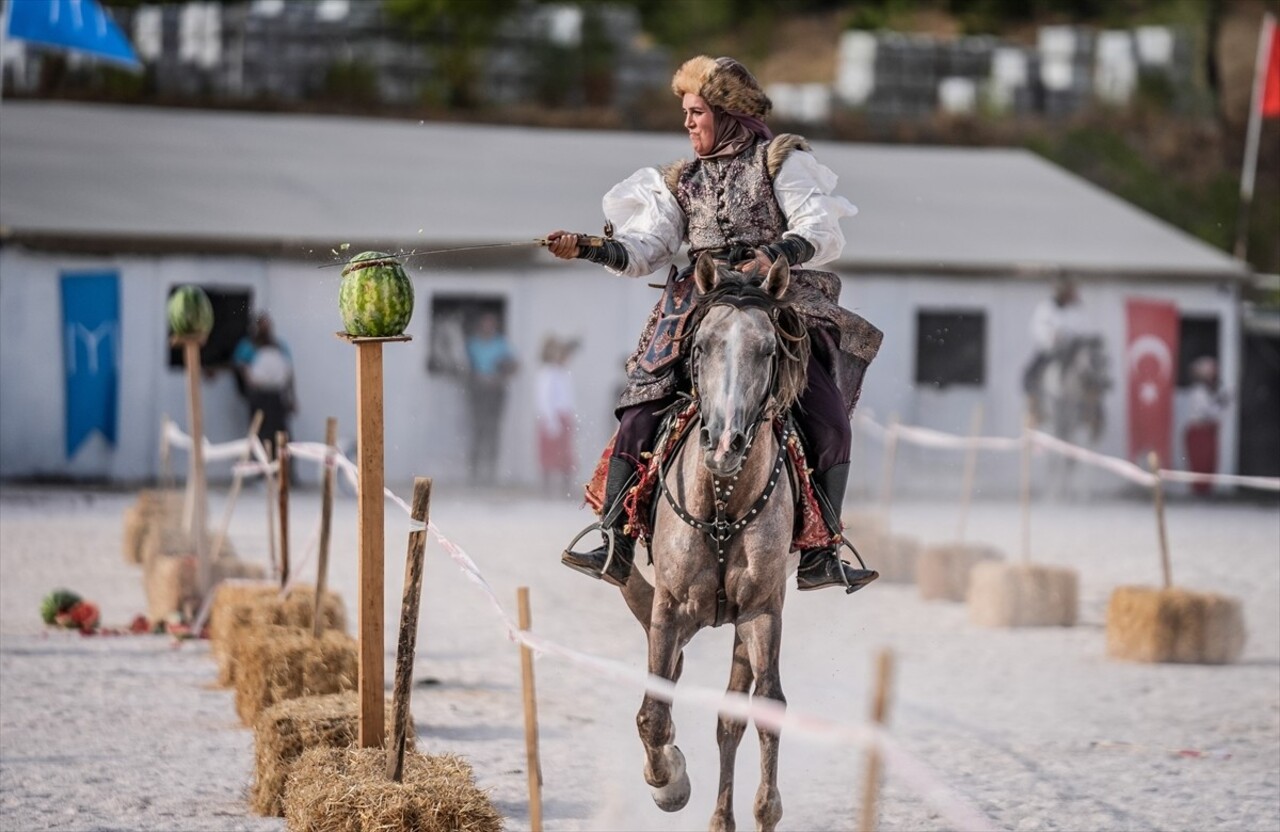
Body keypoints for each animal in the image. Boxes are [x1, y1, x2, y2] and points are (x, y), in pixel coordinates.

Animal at [614, 252, 803, 829]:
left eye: (768, 351)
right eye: (700, 347)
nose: (723, 444)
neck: (721, 505)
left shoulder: (763, 609)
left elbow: (766, 707)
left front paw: (766, 809)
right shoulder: (669, 606)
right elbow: (653, 713)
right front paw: (669, 785)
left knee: (731, 716)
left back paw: (723, 817)